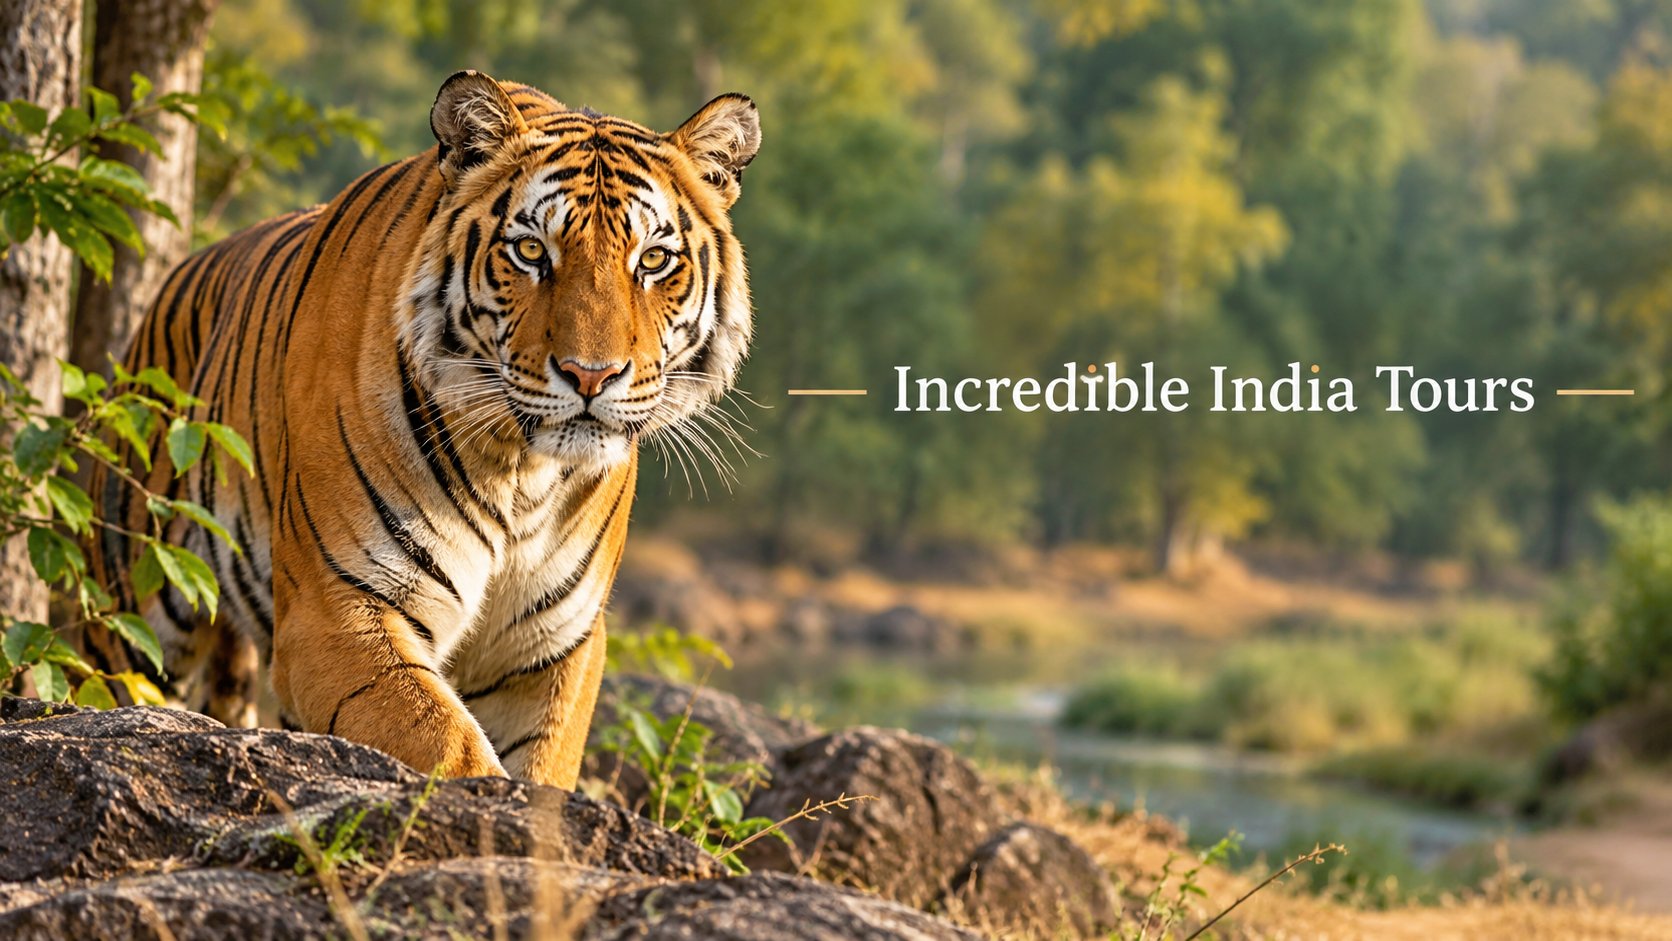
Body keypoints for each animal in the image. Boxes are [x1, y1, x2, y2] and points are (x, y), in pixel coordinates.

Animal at [89, 70, 761, 788]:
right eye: (531, 251)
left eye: (654, 260)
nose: (591, 375)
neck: (523, 473)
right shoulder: (338, 610)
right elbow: (448, 745)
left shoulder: (556, 647)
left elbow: (543, 773)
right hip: (129, 608)